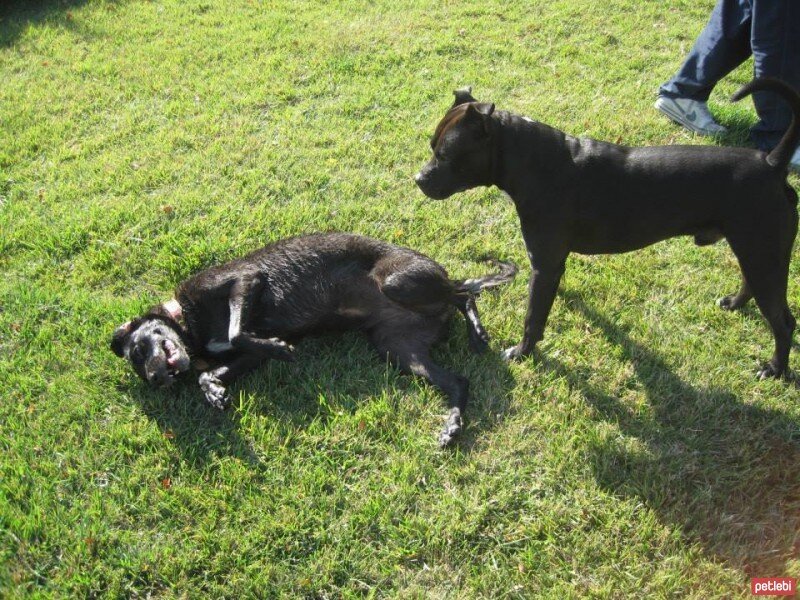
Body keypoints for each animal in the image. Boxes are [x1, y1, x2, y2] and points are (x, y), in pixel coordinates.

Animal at [109, 233, 516, 446]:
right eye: (141, 367)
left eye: (140, 348)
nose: (157, 378)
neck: (190, 325)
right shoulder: (249, 355)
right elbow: (215, 368)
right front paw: (213, 390)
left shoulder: (245, 280)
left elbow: (237, 331)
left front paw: (277, 350)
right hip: (399, 349)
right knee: (459, 380)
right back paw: (452, 426)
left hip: (397, 282)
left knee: (464, 293)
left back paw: (478, 334)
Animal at [416, 78, 800, 380]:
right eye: (432, 146)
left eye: (446, 154)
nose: (419, 179)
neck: (531, 161)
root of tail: (771, 164)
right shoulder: (550, 264)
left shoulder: (545, 263)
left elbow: (533, 316)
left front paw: (522, 352)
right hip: (754, 249)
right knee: (752, 284)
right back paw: (735, 304)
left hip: (762, 252)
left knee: (783, 323)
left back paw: (775, 369)